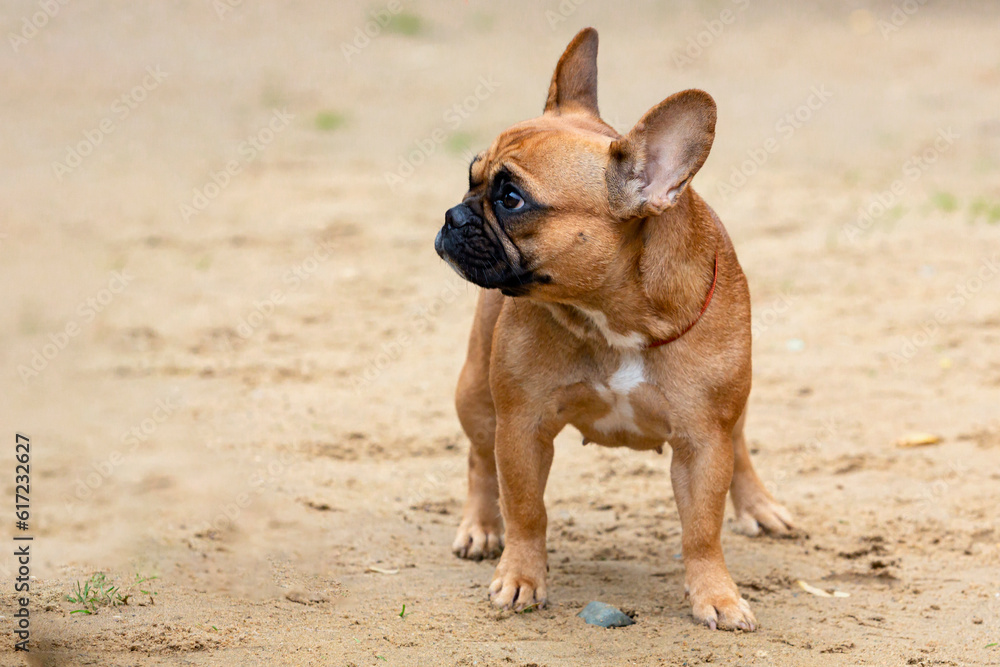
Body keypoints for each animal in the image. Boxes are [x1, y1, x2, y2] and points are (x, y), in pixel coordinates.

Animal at [434, 26, 792, 632]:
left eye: (511, 199)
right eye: (471, 178)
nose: (453, 215)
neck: (612, 316)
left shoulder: (703, 439)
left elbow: (702, 528)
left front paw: (716, 594)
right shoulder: (522, 425)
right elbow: (526, 509)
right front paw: (521, 576)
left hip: (734, 403)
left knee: (741, 444)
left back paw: (759, 505)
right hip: (478, 393)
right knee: (481, 460)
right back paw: (481, 527)